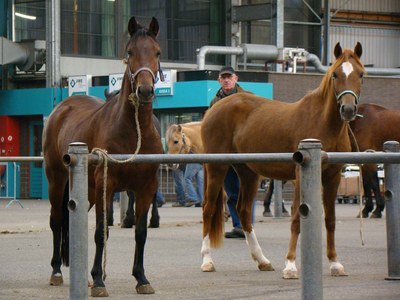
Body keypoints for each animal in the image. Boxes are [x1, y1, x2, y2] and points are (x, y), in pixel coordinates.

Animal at [43, 15, 163, 296]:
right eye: (130, 52)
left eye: (157, 52)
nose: (145, 91)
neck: (133, 131)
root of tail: (61, 108)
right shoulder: (105, 185)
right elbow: (100, 232)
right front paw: (98, 280)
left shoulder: (146, 187)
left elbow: (140, 232)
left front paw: (141, 278)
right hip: (57, 180)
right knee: (56, 222)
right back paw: (56, 271)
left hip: (85, 190)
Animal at [200, 42, 366, 278]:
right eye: (335, 74)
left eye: (360, 74)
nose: (348, 109)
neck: (324, 123)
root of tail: (215, 108)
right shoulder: (300, 175)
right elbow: (296, 218)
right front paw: (290, 265)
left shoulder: (333, 176)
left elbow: (331, 220)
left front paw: (335, 263)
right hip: (217, 168)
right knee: (208, 209)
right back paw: (207, 261)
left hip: (248, 173)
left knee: (243, 211)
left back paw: (262, 260)